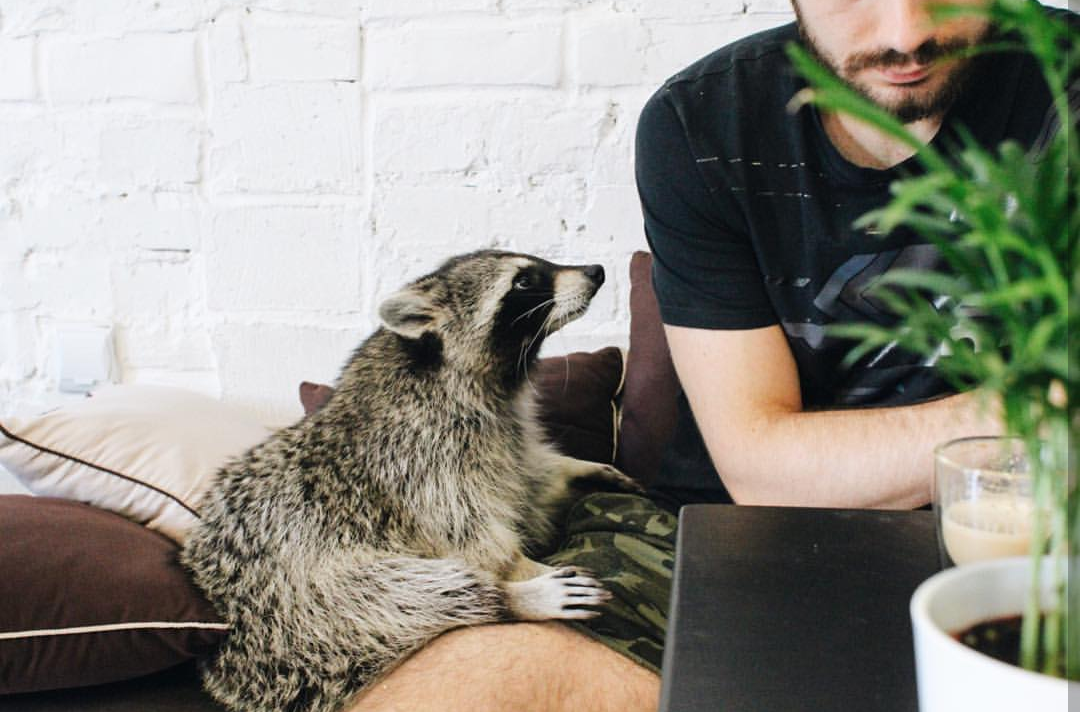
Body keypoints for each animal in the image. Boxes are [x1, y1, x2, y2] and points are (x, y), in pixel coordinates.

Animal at [179, 249, 639, 712]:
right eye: (523, 282)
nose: (596, 271)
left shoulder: (501, 438)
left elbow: (530, 478)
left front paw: (576, 469)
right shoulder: (419, 457)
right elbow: (472, 536)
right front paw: (520, 570)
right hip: (300, 601)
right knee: (410, 596)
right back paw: (510, 601)